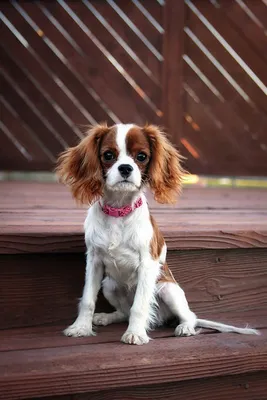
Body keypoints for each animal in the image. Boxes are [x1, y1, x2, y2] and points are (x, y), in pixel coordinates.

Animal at [56, 123, 260, 346]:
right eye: (108, 155)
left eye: (142, 156)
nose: (125, 168)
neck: (119, 211)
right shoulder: (94, 261)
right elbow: (88, 299)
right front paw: (81, 328)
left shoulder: (148, 264)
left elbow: (139, 306)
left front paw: (135, 333)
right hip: (109, 284)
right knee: (124, 312)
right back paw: (106, 317)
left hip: (168, 289)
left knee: (190, 316)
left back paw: (185, 327)